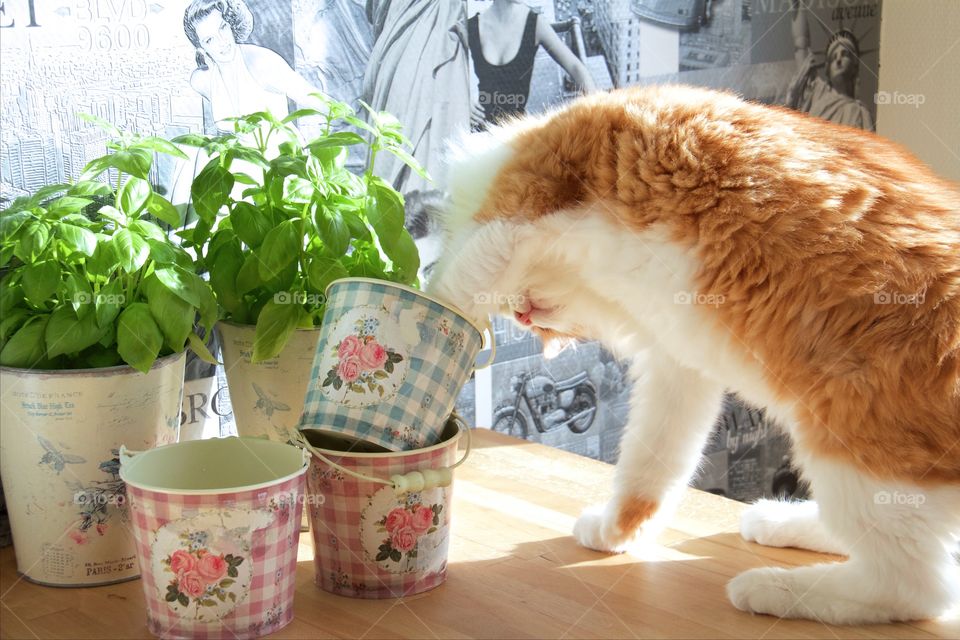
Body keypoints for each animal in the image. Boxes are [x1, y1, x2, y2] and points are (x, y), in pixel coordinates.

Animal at [428, 86, 960, 624]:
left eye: (527, 320)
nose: (522, 316)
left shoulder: (517, 211)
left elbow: (446, 293)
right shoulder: (676, 366)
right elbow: (650, 468)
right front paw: (615, 534)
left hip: (849, 451)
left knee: (916, 588)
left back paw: (773, 588)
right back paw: (780, 521)